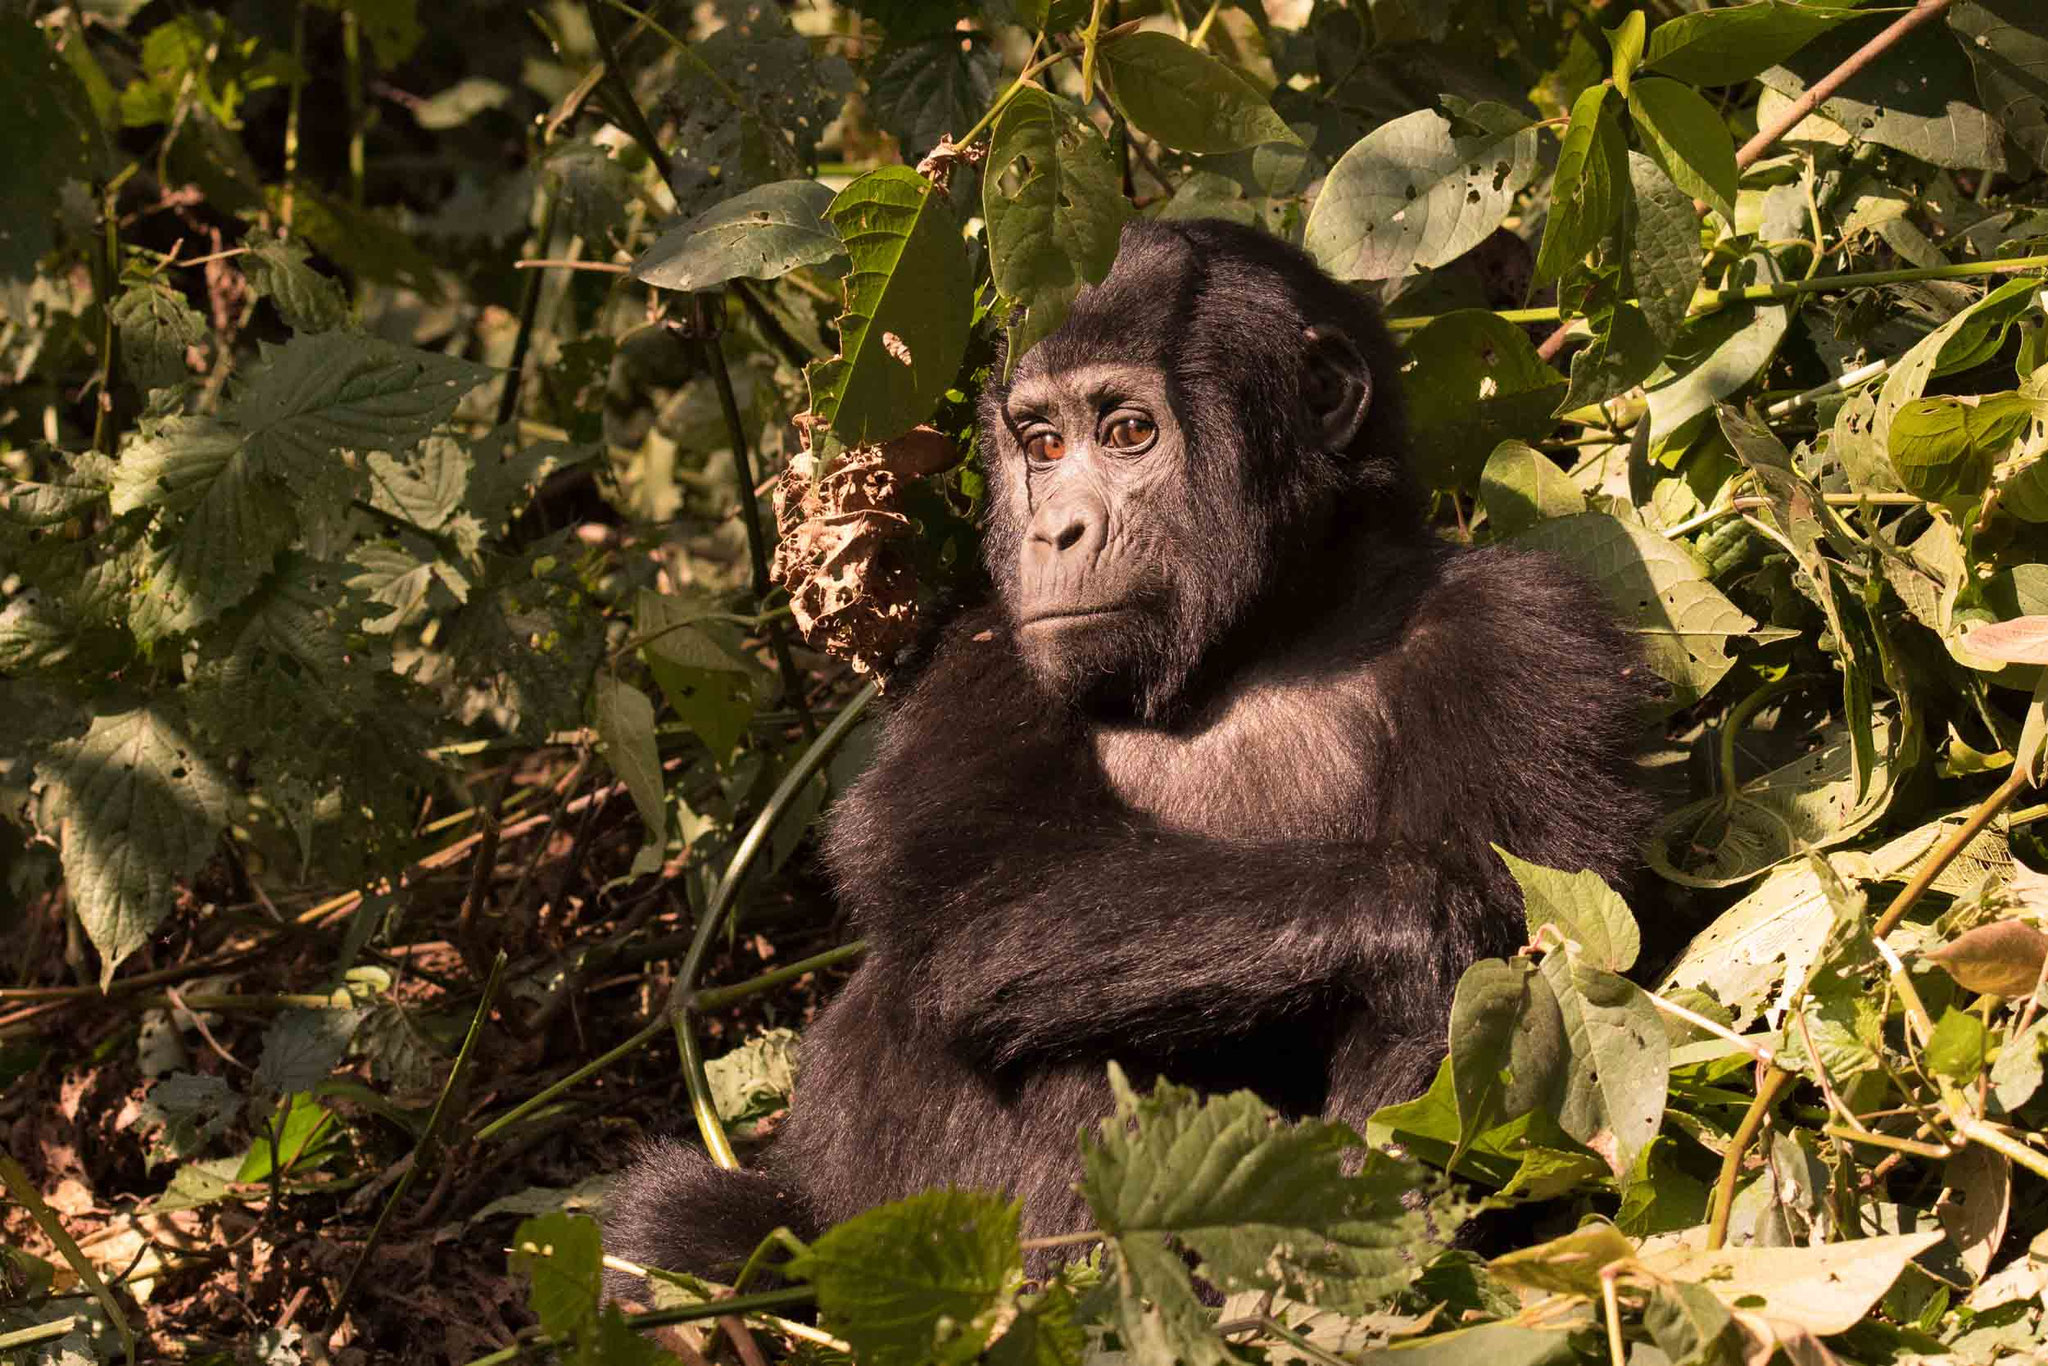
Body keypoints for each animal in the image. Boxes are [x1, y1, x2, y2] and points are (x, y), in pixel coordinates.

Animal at [603, 217, 1652, 1290]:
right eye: (1041, 445)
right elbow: (980, 883)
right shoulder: (982, 649)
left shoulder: (1528, 630)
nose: (1052, 531)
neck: (1270, 629)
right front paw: (1420, 910)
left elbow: (1543, 952)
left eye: (1127, 434)